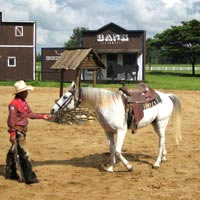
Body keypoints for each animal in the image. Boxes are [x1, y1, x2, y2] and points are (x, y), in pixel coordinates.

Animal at [50, 82, 181, 173]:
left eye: (65, 96)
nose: (52, 110)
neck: (108, 105)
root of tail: (167, 96)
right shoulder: (108, 132)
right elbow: (111, 149)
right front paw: (111, 168)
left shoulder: (121, 131)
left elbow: (117, 151)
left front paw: (129, 167)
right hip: (155, 124)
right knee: (162, 140)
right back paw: (163, 157)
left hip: (161, 123)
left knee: (161, 141)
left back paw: (157, 163)